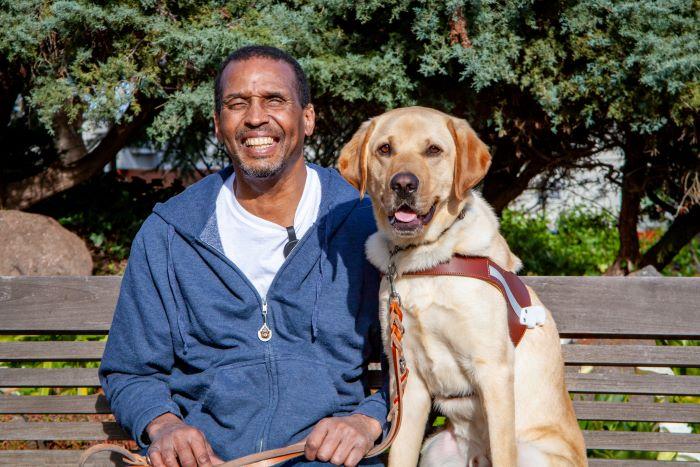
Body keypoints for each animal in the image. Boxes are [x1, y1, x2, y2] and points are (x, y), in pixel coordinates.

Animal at [338, 108, 584, 466]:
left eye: (433, 150)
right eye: (385, 149)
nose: (403, 184)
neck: (425, 261)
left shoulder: (494, 371)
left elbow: (504, 454)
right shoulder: (409, 382)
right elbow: (400, 454)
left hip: (532, 451)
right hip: (436, 449)